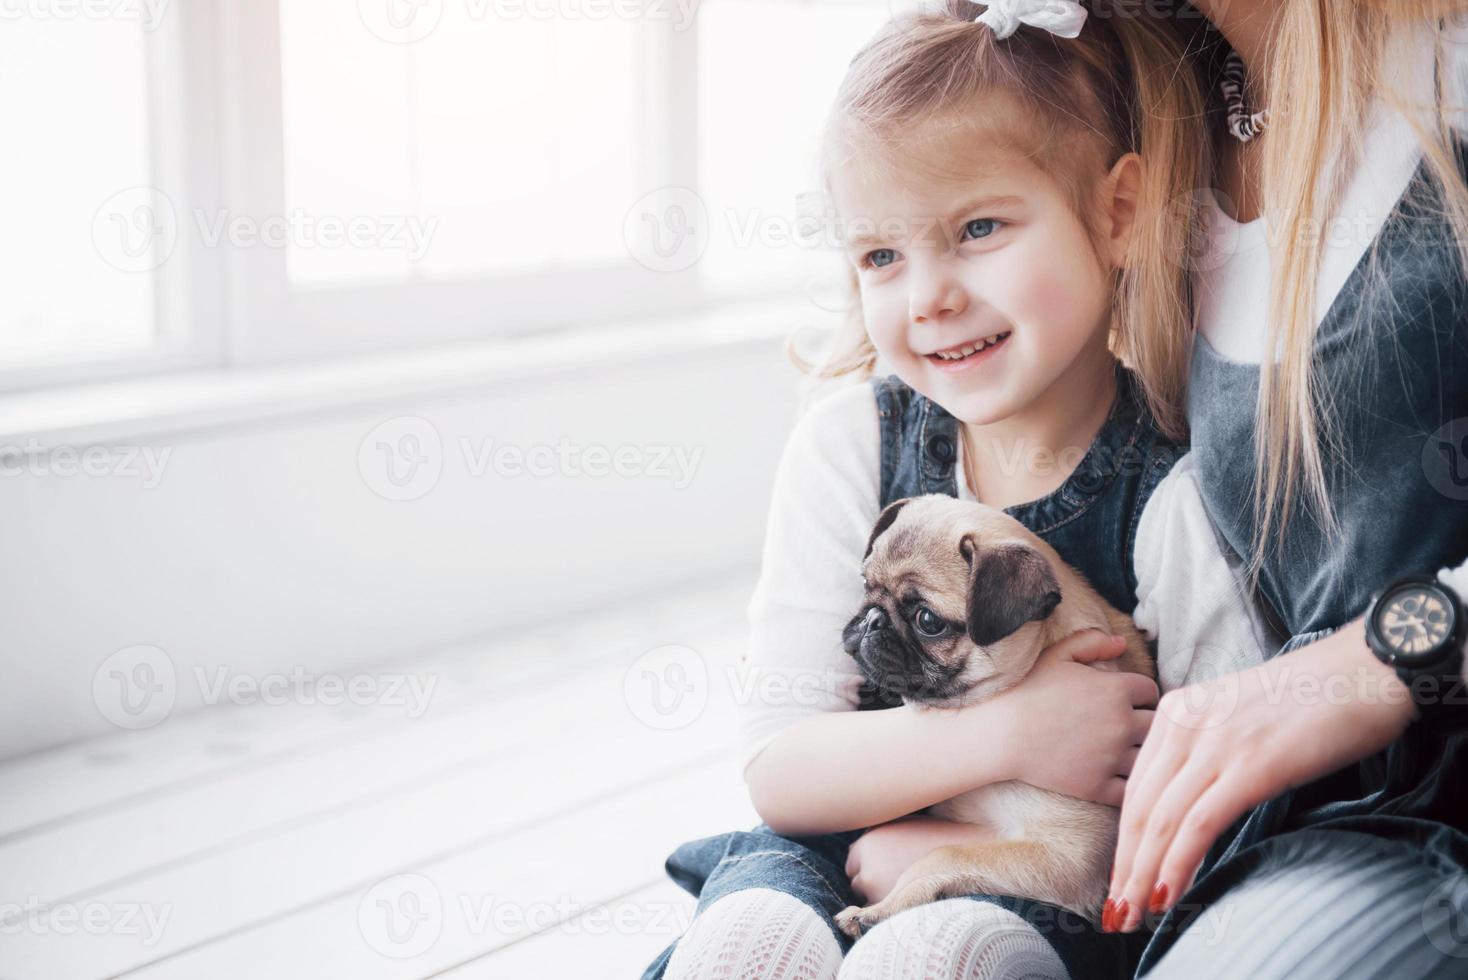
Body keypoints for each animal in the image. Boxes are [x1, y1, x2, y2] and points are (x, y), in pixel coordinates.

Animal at [833, 492, 1150, 938]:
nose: (872, 618)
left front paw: (877, 909)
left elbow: (944, 855)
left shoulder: (1069, 853)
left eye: (927, 620)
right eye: (865, 584)